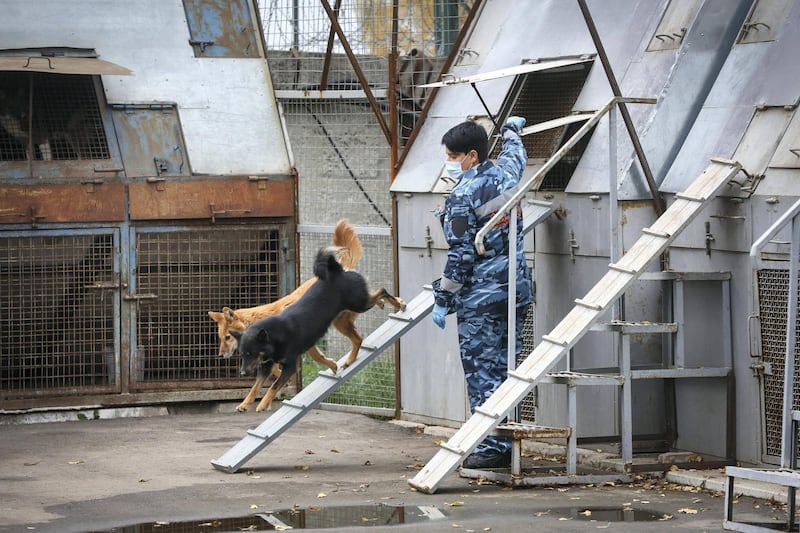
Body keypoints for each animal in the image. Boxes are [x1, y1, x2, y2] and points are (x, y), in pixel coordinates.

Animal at [208, 217, 398, 412]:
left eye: (227, 337)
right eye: (221, 337)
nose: (220, 355)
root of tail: (339, 269)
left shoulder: (296, 354)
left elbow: (279, 380)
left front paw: (265, 402)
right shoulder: (272, 360)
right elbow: (259, 383)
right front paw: (246, 403)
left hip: (354, 308)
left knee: (380, 294)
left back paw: (399, 304)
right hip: (345, 318)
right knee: (360, 333)